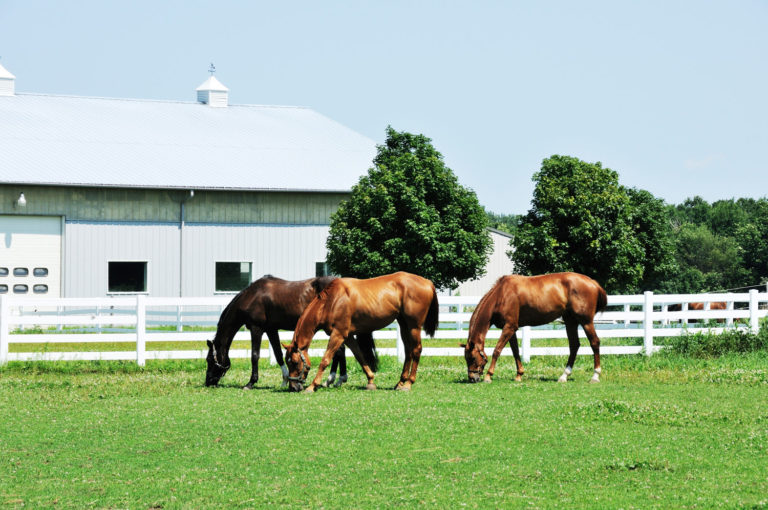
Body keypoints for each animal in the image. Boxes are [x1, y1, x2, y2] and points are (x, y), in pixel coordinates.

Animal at [205, 275, 337, 388]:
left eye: (209, 359)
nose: (208, 381)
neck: (252, 296)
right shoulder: (271, 329)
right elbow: (278, 354)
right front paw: (284, 381)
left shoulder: (256, 328)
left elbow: (255, 355)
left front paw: (250, 383)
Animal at [283, 271, 439, 392]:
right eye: (287, 362)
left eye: (295, 362)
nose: (293, 387)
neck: (332, 301)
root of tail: (427, 281)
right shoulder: (348, 336)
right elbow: (359, 356)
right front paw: (370, 381)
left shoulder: (338, 335)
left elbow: (325, 359)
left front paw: (312, 386)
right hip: (404, 324)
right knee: (408, 351)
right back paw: (400, 382)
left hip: (414, 326)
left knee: (416, 350)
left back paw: (408, 383)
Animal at [462, 272, 607, 384]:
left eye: (472, 358)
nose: (472, 378)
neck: (501, 294)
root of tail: (593, 283)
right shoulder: (511, 328)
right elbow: (515, 351)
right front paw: (519, 375)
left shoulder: (509, 327)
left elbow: (497, 350)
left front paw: (488, 376)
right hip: (570, 322)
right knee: (574, 346)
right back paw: (564, 376)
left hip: (586, 322)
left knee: (594, 342)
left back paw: (595, 376)